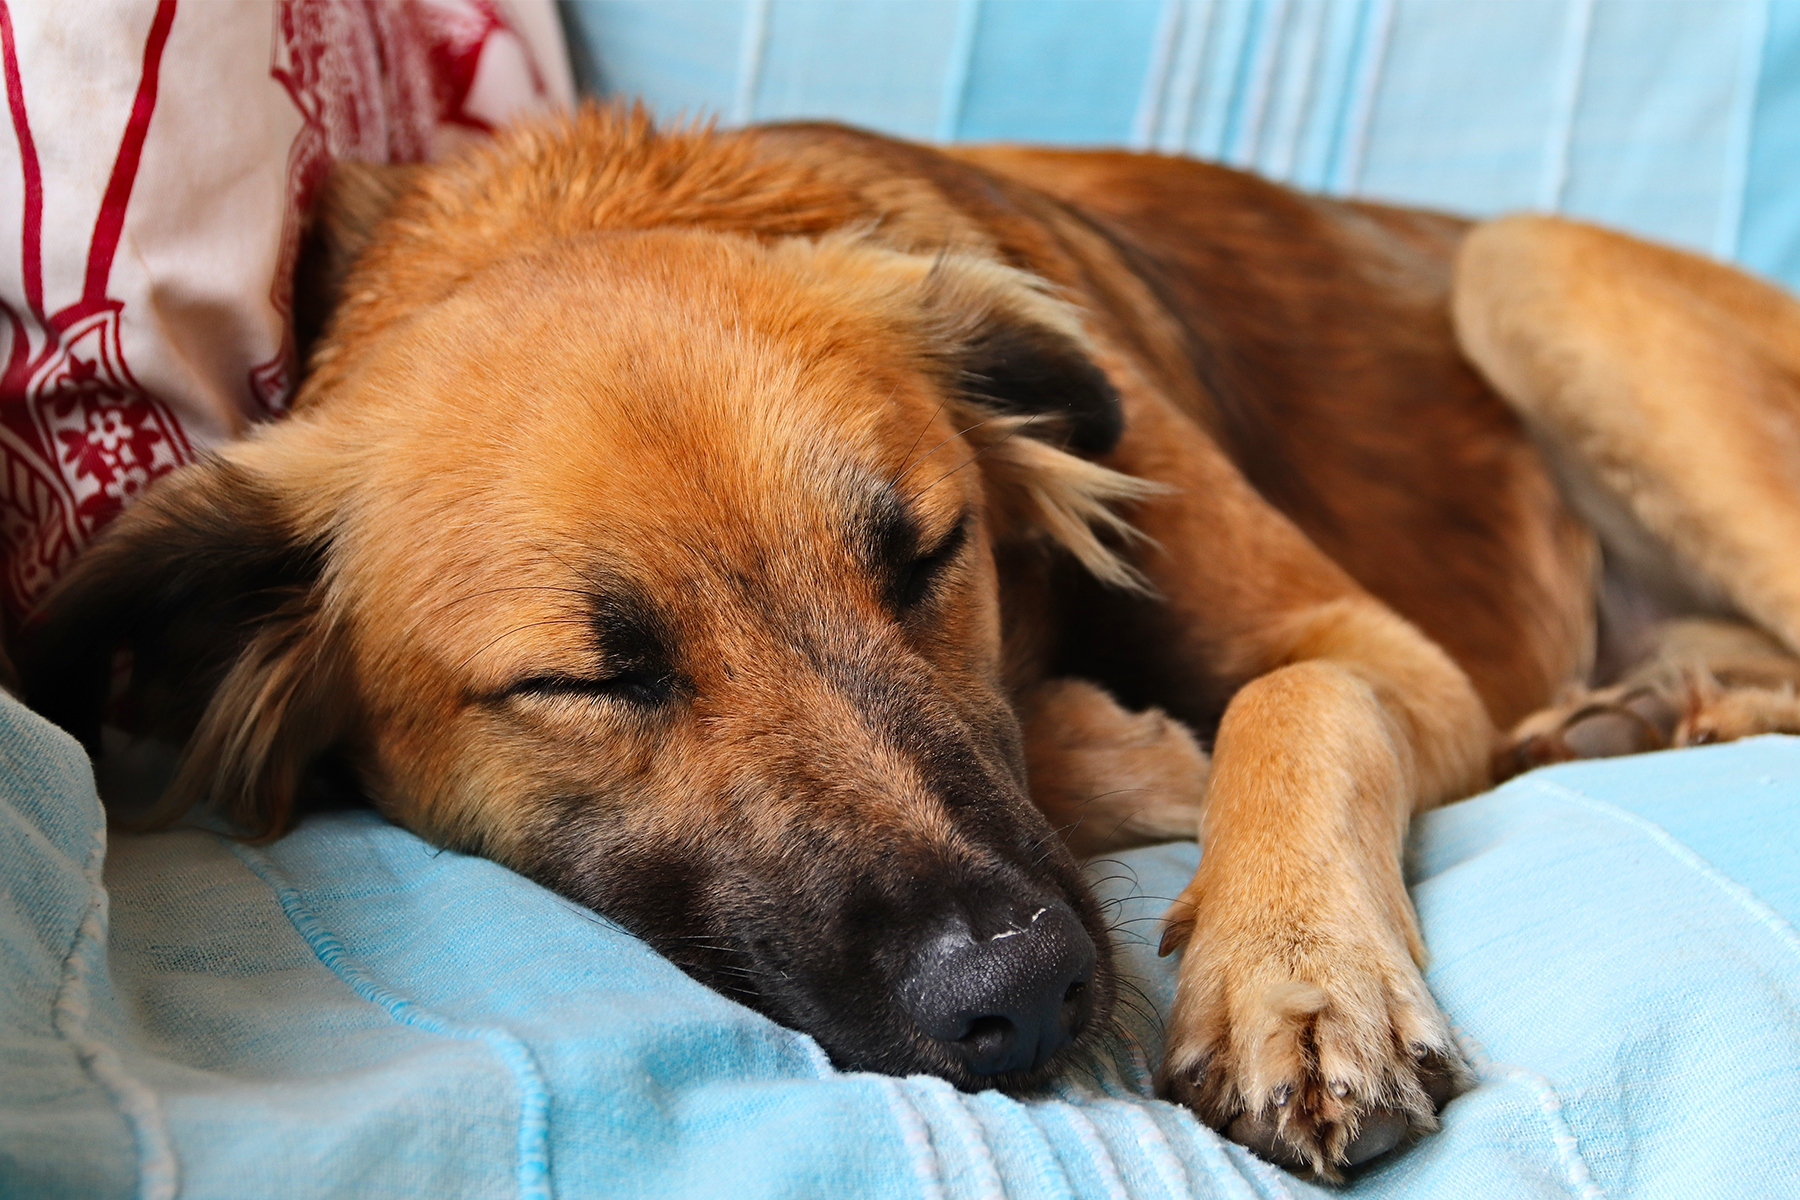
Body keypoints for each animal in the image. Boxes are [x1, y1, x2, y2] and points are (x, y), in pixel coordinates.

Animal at [21, 107, 1800, 1180]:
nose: (1023, 995)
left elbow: (1298, 697)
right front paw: (1122, 755)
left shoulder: (1378, 643)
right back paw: (1647, 710)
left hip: (1527, 265)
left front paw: (1298, 976)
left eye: (926, 553)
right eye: (586, 680)